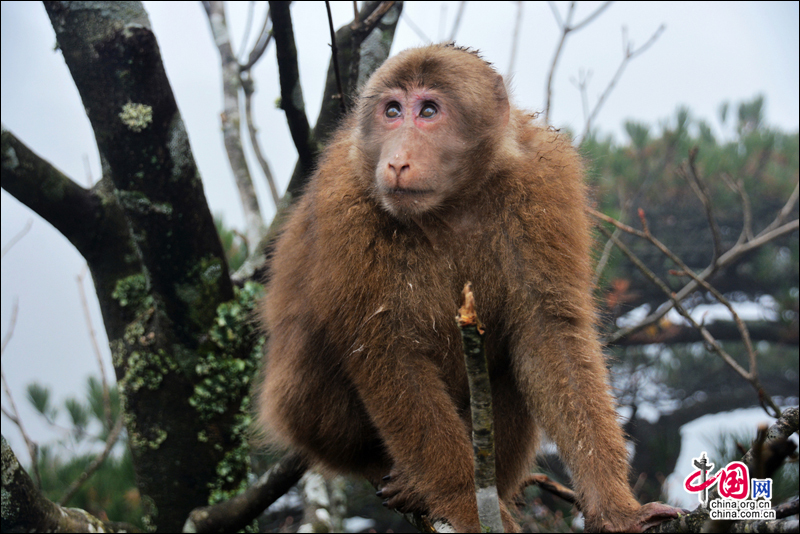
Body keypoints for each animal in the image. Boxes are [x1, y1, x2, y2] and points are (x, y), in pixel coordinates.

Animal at [258, 44, 680, 532]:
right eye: (392, 111)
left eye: (428, 110)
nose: (396, 160)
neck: (451, 204)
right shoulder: (342, 204)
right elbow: (385, 350)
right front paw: (468, 506)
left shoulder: (546, 184)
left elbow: (550, 331)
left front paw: (617, 508)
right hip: (312, 416)